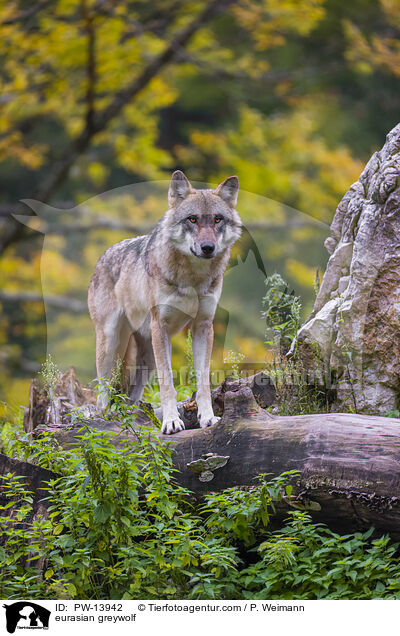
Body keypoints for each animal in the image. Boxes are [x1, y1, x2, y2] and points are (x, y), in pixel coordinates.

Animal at [88, 171, 242, 434]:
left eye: (218, 219)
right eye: (192, 219)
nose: (208, 248)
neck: (193, 278)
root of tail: (103, 256)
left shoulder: (203, 326)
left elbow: (203, 381)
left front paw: (208, 418)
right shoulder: (161, 327)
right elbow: (168, 381)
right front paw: (171, 421)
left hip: (147, 354)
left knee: (132, 394)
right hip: (112, 344)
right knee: (102, 393)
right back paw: (106, 420)